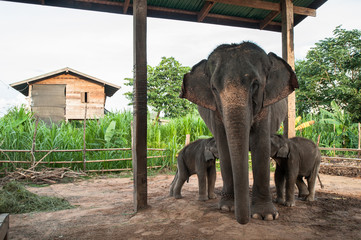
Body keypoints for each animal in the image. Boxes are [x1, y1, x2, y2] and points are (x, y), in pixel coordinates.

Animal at [179, 42, 296, 224]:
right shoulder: (216, 113)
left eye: (255, 84)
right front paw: (227, 207)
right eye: (213, 88)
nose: (243, 221)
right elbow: (224, 147)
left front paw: (266, 215)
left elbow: (261, 145)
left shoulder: (265, 108)